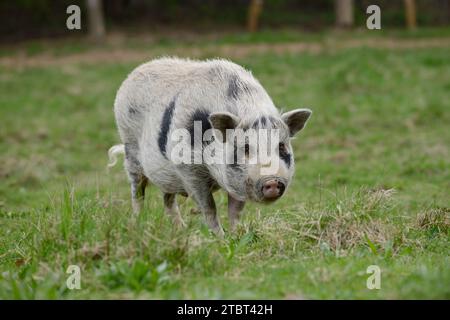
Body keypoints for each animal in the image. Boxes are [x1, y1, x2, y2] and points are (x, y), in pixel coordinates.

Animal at [108, 57, 312, 235]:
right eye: (245, 148)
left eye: (282, 147)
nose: (272, 181)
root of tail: (132, 75)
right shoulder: (189, 170)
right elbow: (209, 208)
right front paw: (220, 239)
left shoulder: (235, 180)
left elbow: (235, 211)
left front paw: (236, 236)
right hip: (130, 147)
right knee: (137, 192)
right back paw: (136, 224)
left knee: (167, 200)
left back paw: (180, 230)